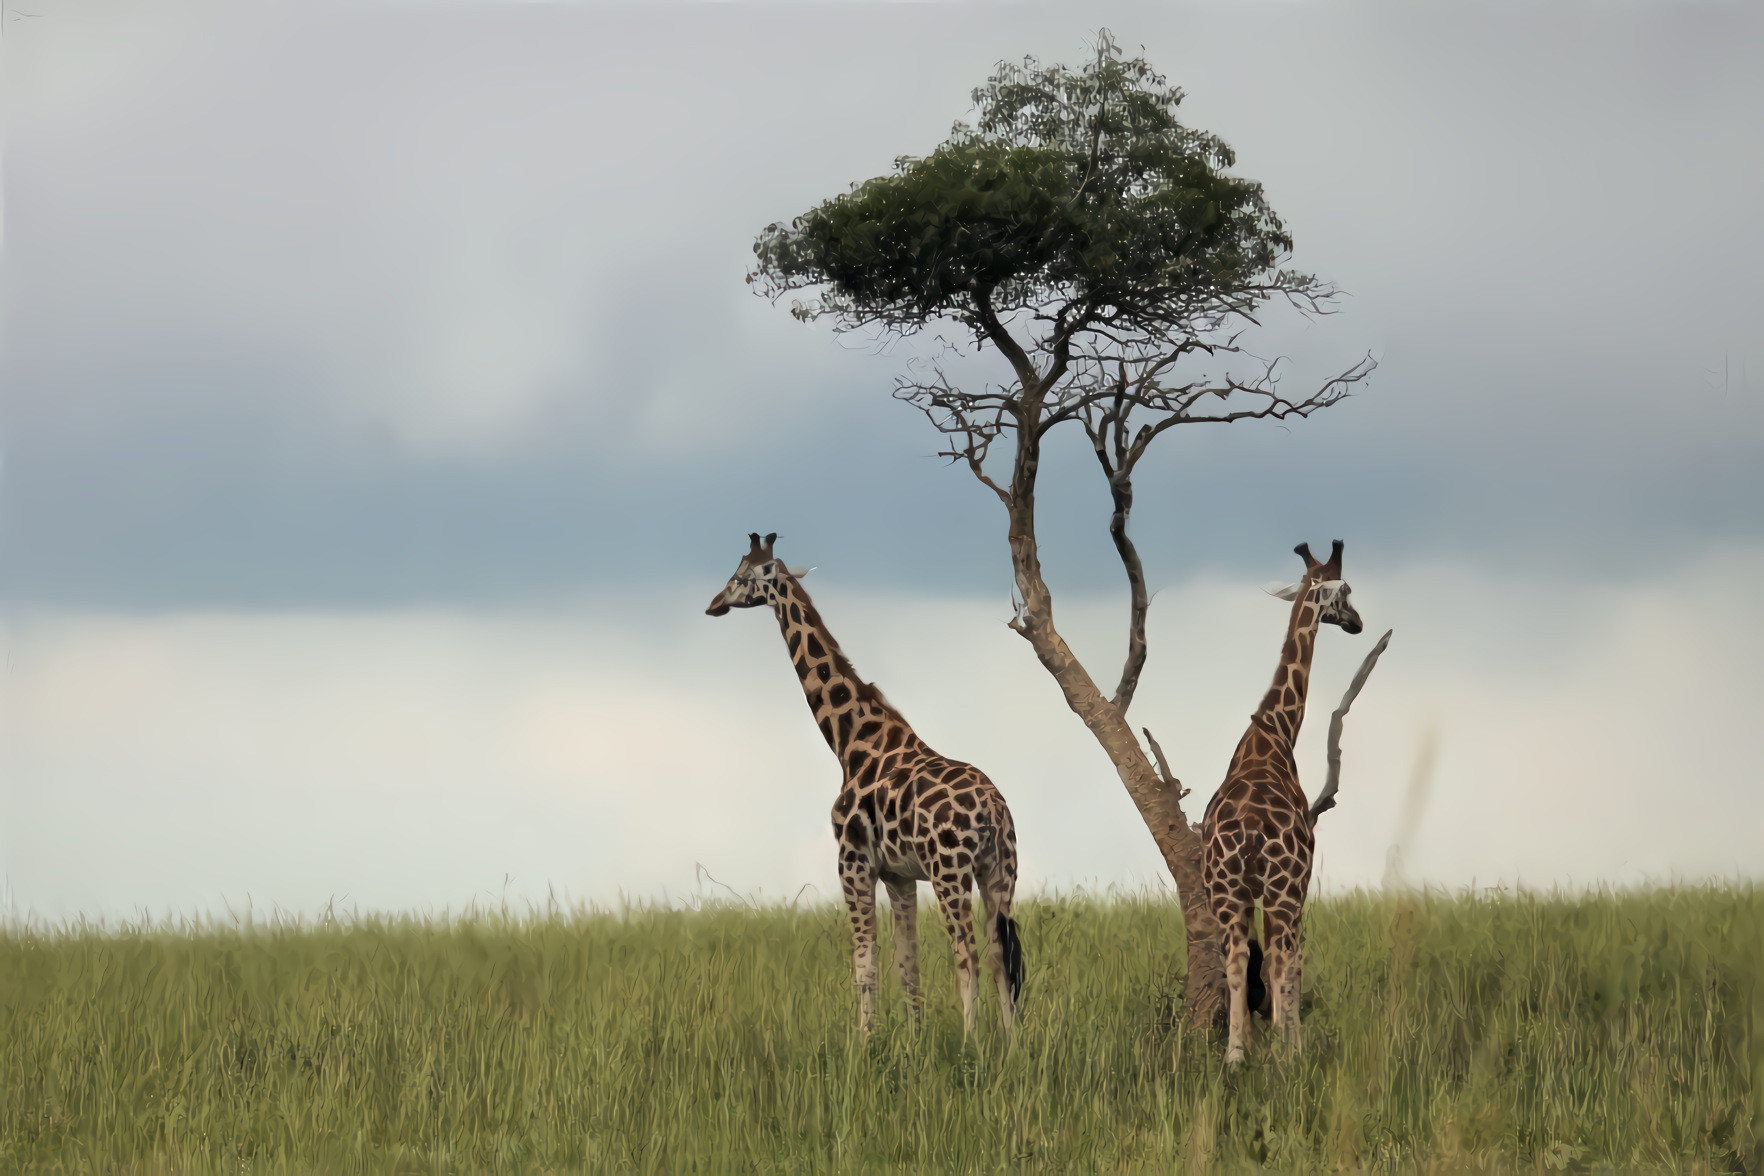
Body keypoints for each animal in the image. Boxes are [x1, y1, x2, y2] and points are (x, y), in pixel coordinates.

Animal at [709, 532, 1030, 1036]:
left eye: (739, 577)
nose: (714, 604)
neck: (850, 743)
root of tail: (994, 811)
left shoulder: (853, 860)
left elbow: (865, 963)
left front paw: (864, 1042)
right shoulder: (899, 874)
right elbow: (907, 965)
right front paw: (914, 1042)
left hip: (950, 870)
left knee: (967, 953)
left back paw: (971, 1042)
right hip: (1001, 870)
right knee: (1001, 954)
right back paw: (1011, 1044)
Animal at [1199, 543, 1361, 1064]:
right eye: (1346, 592)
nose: (1358, 623)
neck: (1273, 733)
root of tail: (1251, 834)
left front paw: (1260, 1045)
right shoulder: (1299, 883)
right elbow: (1291, 963)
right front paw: (1290, 1046)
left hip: (1226, 890)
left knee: (1236, 958)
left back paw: (1235, 1057)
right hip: (1281, 889)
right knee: (1282, 957)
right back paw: (1283, 1055)